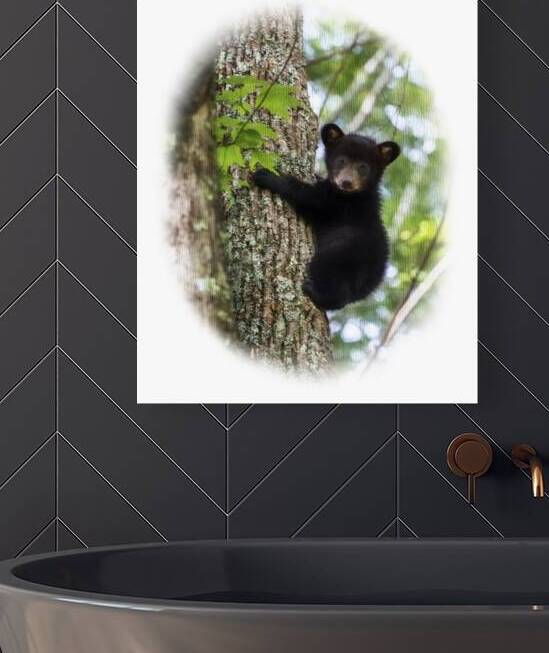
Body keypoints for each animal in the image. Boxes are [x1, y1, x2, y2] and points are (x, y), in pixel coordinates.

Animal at [252, 123, 400, 311]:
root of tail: (368, 285)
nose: (346, 182)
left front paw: (266, 176)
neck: (350, 195)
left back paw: (314, 292)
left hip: (341, 254)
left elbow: (309, 197)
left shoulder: (338, 206)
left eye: (363, 167)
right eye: (341, 161)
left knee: (334, 283)